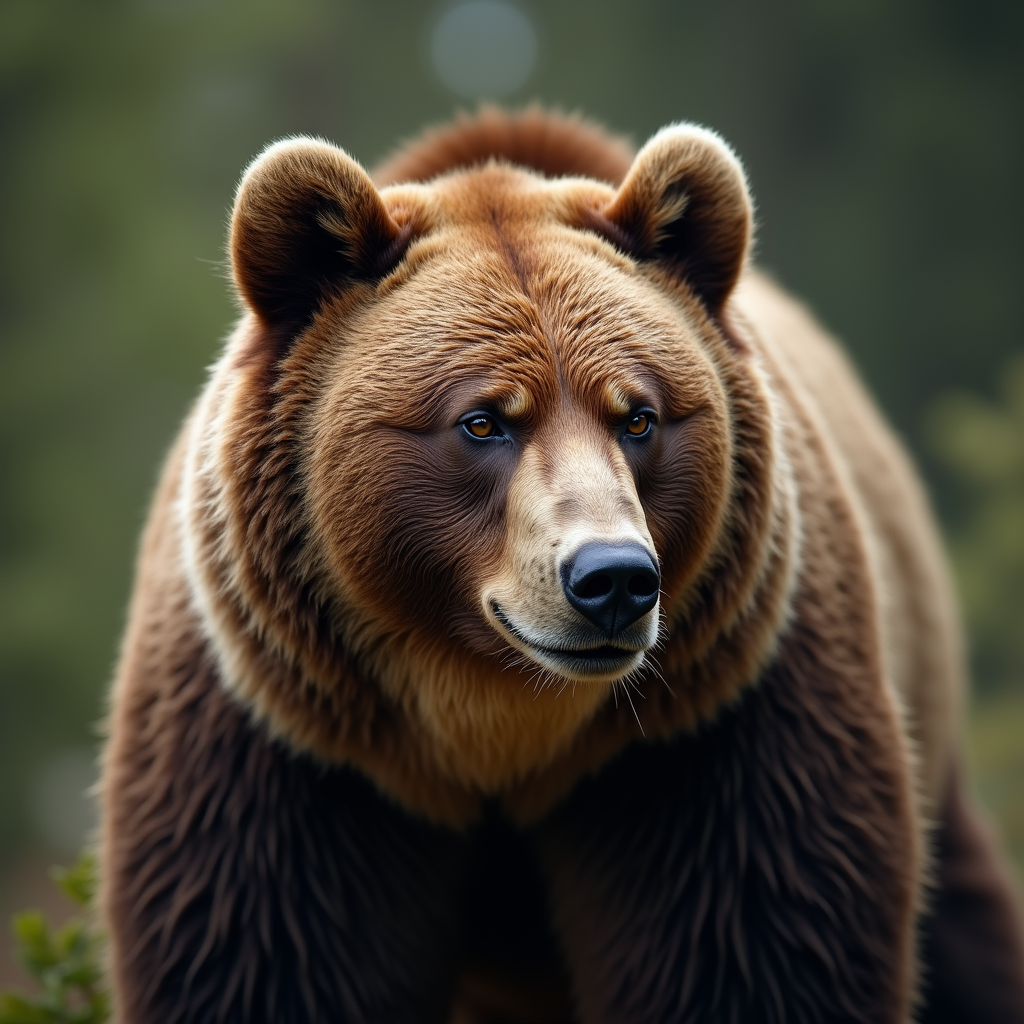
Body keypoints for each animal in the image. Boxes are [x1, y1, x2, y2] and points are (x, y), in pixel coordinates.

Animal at [99, 107, 1024, 1023]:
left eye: (639, 414)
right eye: (482, 421)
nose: (613, 579)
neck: (499, 725)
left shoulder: (714, 732)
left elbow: (756, 949)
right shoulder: (290, 742)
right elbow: (267, 954)